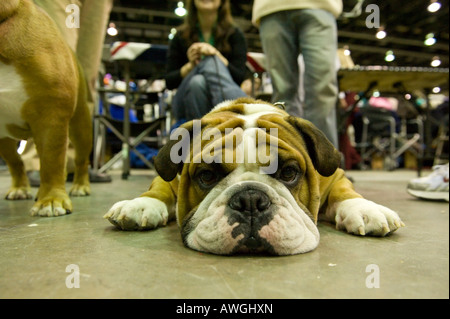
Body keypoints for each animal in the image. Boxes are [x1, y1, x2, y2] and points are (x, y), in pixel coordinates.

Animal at [0, 0, 92, 218]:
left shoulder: (51, 114)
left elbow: (52, 161)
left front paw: (51, 199)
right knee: (15, 161)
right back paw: (20, 188)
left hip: (81, 125)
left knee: (80, 159)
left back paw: (80, 186)